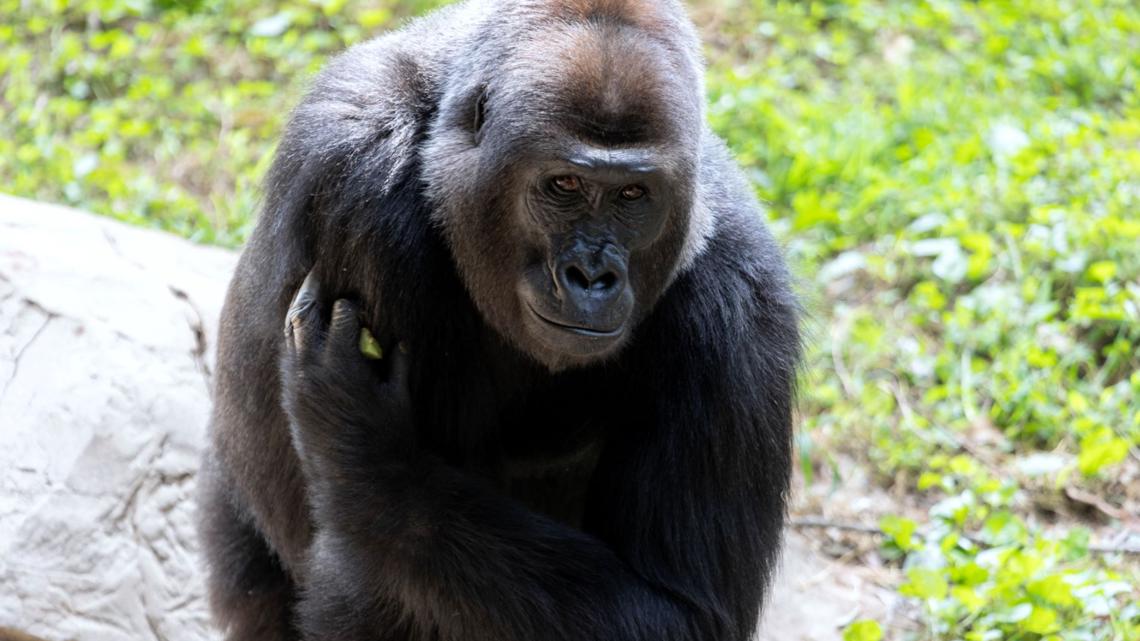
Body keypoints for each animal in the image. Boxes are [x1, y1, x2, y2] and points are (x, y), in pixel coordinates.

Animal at [196, 1, 802, 638]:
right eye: (564, 184)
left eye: (633, 195)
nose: (591, 276)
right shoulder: (356, 170)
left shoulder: (743, 302)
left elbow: (684, 611)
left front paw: (374, 460)